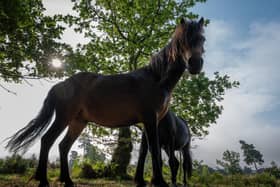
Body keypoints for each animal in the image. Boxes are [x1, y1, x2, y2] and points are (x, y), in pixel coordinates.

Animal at [5, 17, 205, 187]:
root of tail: (62, 84)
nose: (195, 64)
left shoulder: (148, 122)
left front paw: (142, 181)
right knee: (47, 140)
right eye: (183, 40)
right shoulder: (150, 120)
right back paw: (44, 180)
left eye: (202, 39)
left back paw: (67, 180)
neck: (156, 79)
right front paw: (160, 182)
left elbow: (144, 152)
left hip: (78, 122)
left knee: (63, 146)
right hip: (63, 118)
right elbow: (154, 151)